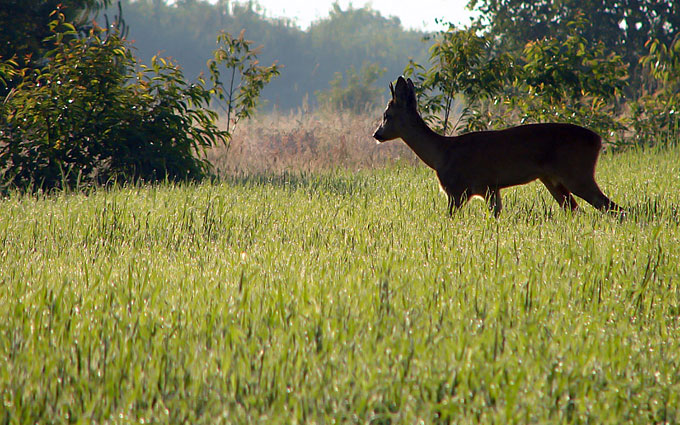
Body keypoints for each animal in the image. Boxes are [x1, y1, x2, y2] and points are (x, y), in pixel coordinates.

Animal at [374, 75, 624, 215]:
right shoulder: (490, 189)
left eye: (387, 115)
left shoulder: (457, 189)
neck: (441, 154)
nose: (377, 134)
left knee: (614, 209)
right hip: (553, 180)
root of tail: (598, 140)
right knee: (578, 211)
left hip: (577, 174)